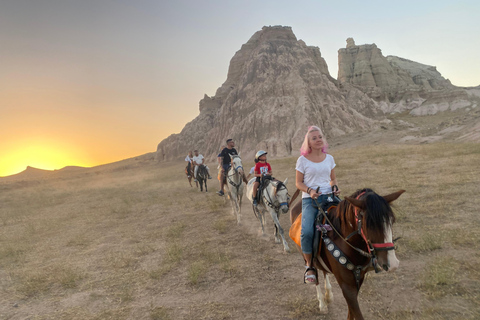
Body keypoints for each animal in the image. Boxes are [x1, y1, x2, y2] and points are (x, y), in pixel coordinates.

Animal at [288, 189, 404, 318]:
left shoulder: (358, 279)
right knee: (314, 272)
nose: (393, 264)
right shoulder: (346, 286)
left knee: (324, 271)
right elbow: (356, 314)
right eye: (369, 224)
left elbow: (351, 313)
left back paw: (329, 295)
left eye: (392, 221)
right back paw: (322, 304)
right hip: (306, 255)